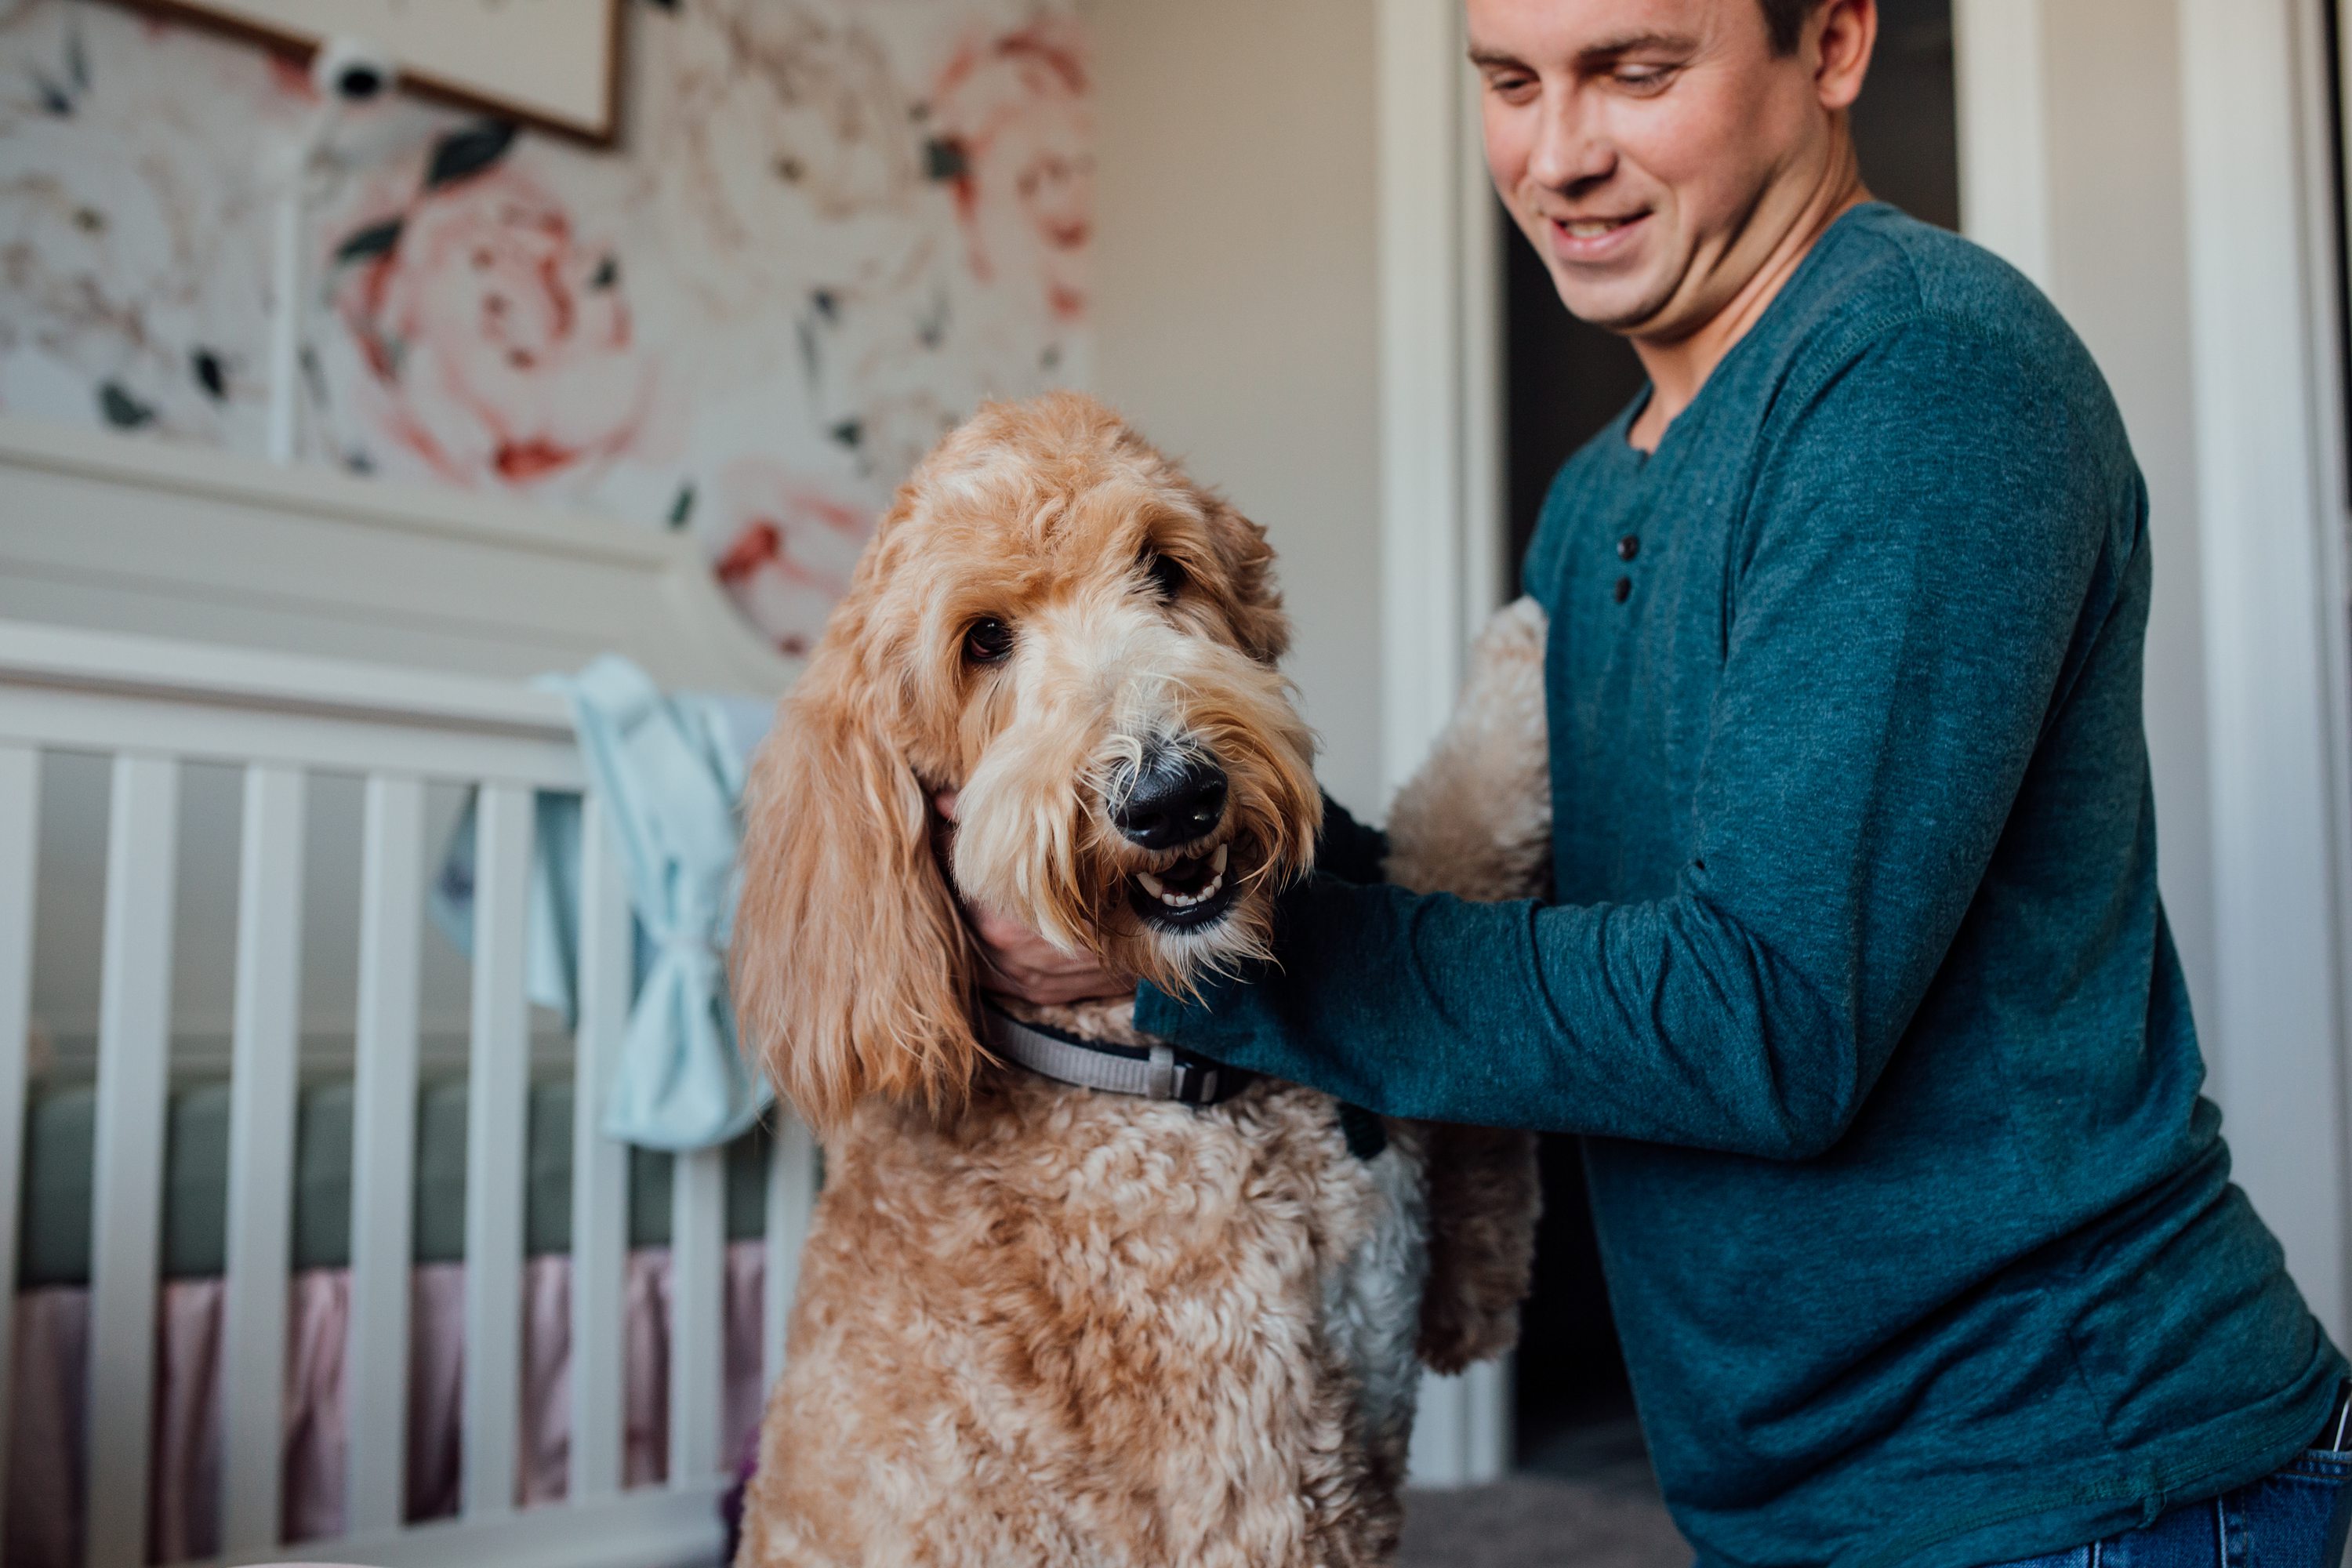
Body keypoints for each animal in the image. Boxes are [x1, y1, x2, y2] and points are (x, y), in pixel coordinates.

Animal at [724, 394, 1552, 1568]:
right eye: (984, 641)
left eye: (1163, 568)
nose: (1170, 797)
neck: (1144, 1063)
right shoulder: (1260, 1494)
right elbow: (1451, 847)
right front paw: (1523, 639)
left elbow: (1456, 840)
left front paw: (1519, 645)